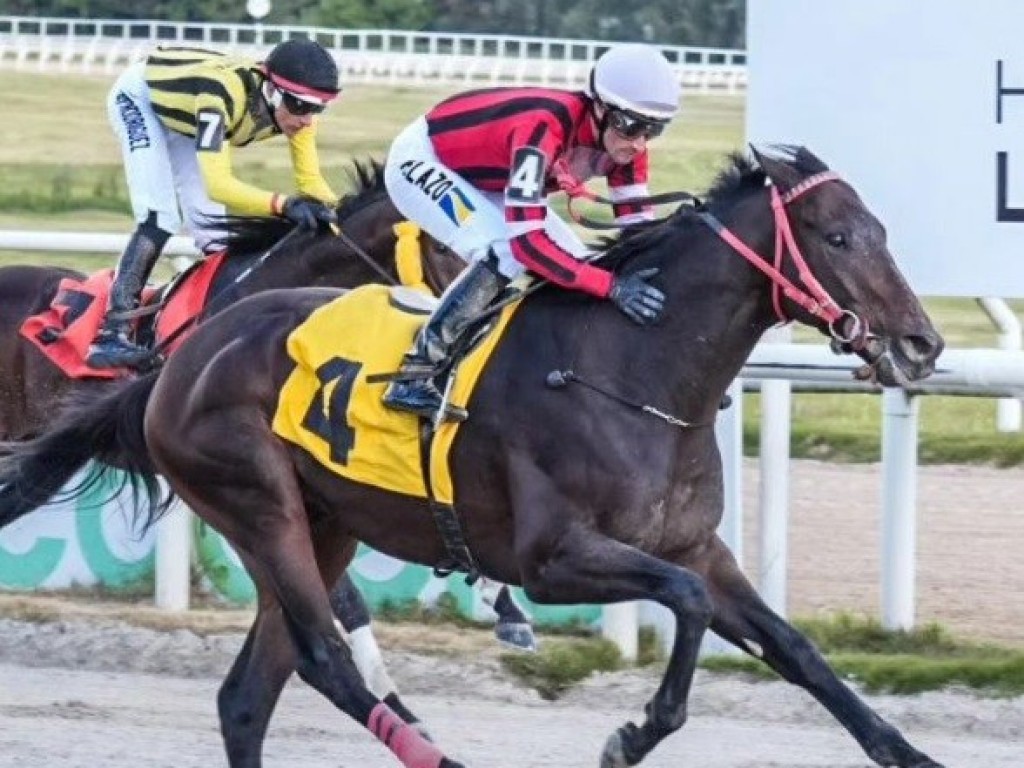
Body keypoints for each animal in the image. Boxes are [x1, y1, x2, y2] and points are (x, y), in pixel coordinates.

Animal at [0, 145, 942, 768]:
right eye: (837, 238)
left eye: (880, 229)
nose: (921, 344)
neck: (631, 369)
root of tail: (175, 363)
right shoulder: (553, 559)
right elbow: (686, 604)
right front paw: (631, 732)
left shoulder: (694, 544)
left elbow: (794, 649)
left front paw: (911, 754)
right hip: (258, 505)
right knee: (323, 658)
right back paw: (435, 754)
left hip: (323, 524)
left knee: (247, 696)